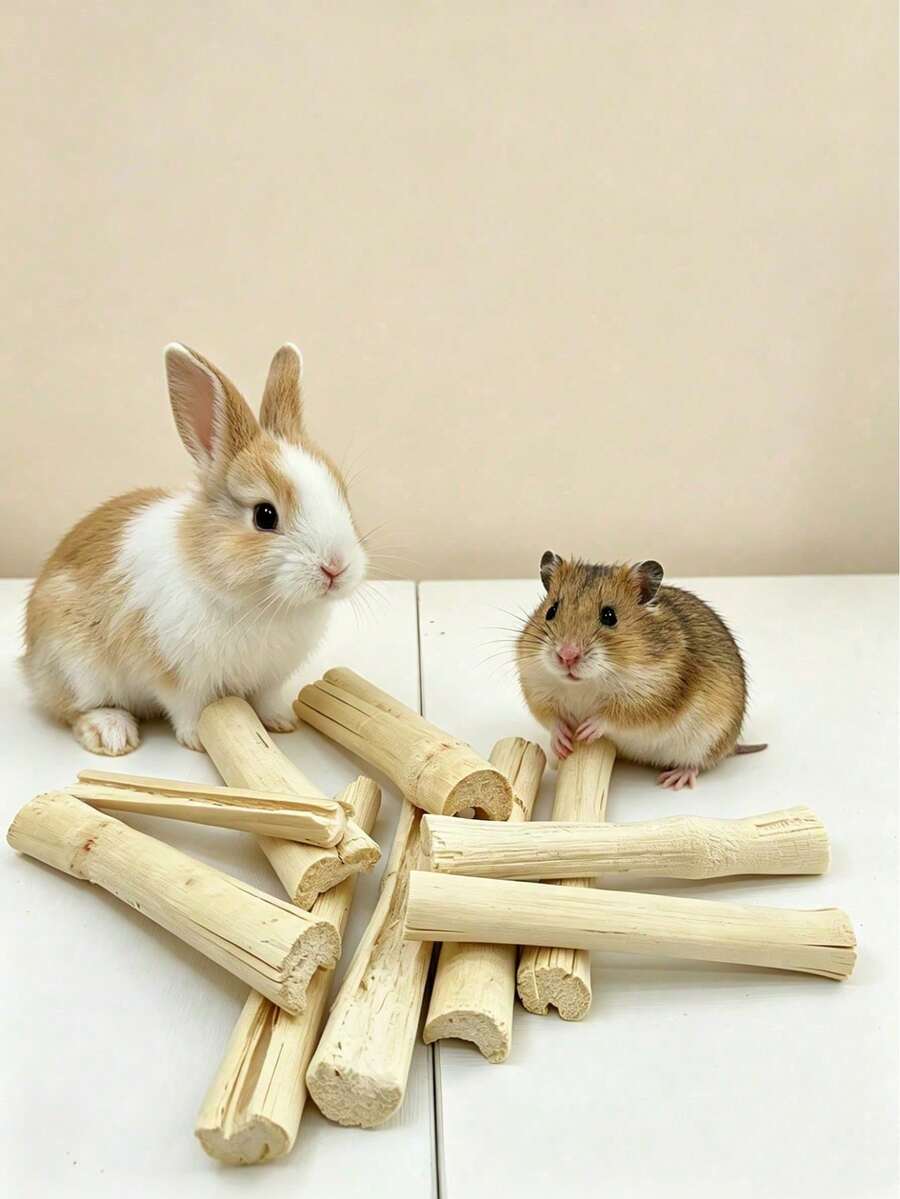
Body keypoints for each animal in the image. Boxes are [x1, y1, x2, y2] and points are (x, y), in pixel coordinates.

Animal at [23, 342, 367, 756]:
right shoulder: (180, 677)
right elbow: (188, 708)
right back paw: (112, 732)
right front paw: (197, 740)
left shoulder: (269, 679)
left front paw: (282, 723)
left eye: (343, 496)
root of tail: (28, 664)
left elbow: (267, 700)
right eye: (265, 516)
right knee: (72, 709)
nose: (336, 568)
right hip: (76, 666)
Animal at [516, 552, 765, 788]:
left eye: (609, 616)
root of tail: (732, 745)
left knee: (698, 763)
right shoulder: (536, 689)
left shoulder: (651, 698)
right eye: (551, 611)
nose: (567, 655)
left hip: (708, 739)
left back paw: (674, 779)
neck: (585, 684)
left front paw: (585, 730)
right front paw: (563, 742)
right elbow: (552, 719)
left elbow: (612, 717)